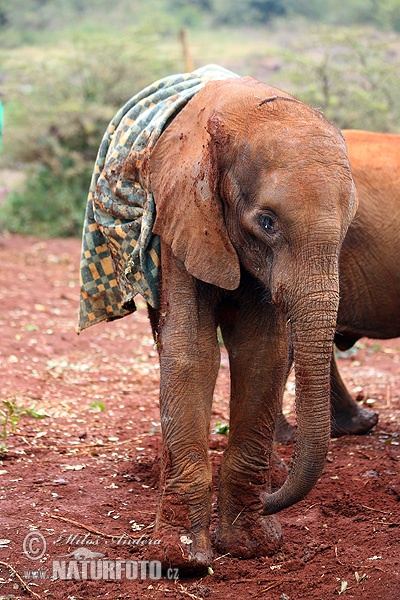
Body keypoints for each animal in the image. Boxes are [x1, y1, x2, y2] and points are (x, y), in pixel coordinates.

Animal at [78, 67, 356, 572]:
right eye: (266, 222)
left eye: (350, 225)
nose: (271, 501)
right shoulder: (182, 210)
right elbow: (192, 353)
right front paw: (181, 559)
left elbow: (264, 353)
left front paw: (252, 544)